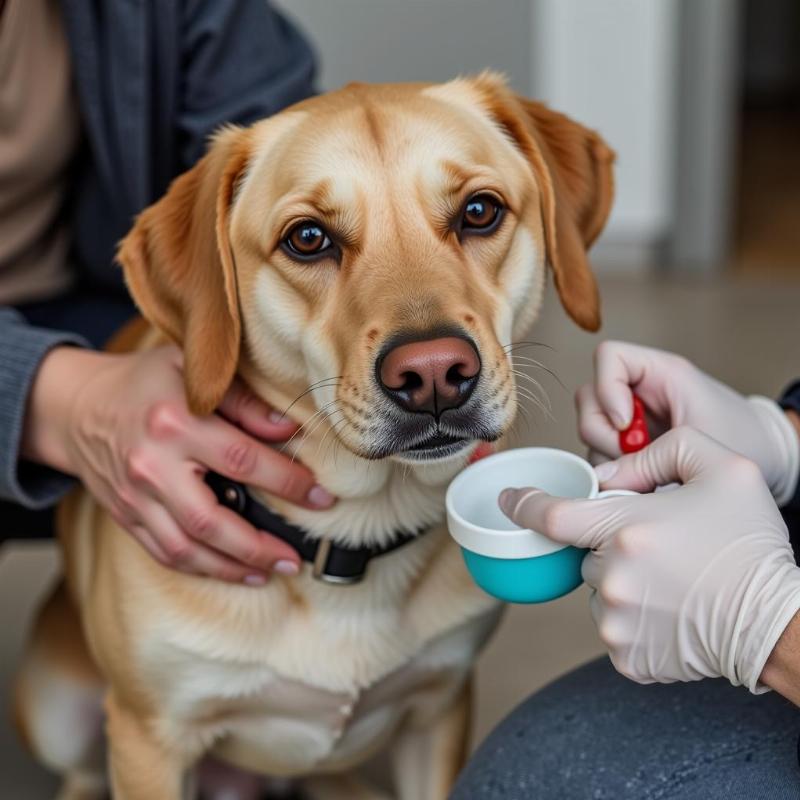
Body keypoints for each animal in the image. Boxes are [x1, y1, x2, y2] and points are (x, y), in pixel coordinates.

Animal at [14, 75, 612, 800]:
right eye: (307, 238)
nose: (434, 375)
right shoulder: (151, 739)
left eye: (478, 211)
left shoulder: (438, 709)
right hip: (58, 711)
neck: (353, 532)